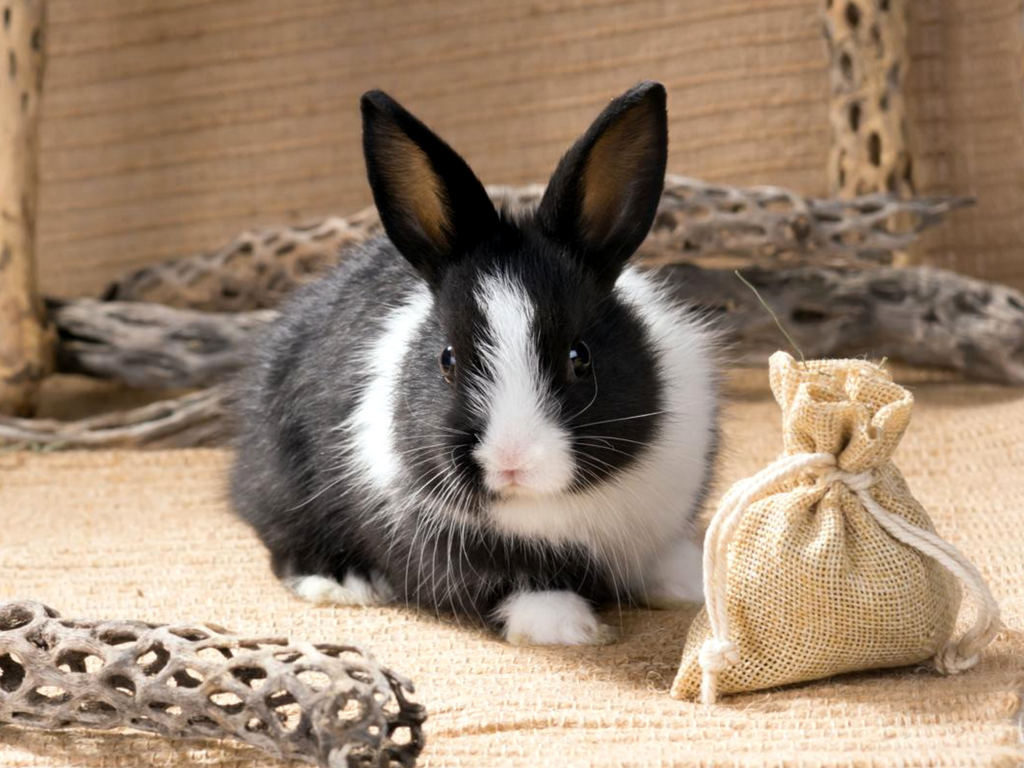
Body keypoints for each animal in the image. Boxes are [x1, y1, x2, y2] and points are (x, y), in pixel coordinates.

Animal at [230, 80, 720, 646]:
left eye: (580, 357)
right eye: (447, 360)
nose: (512, 462)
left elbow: (663, 557)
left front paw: (692, 585)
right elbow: (516, 581)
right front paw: (566, 628)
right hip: (281, 481)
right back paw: (343, 584)